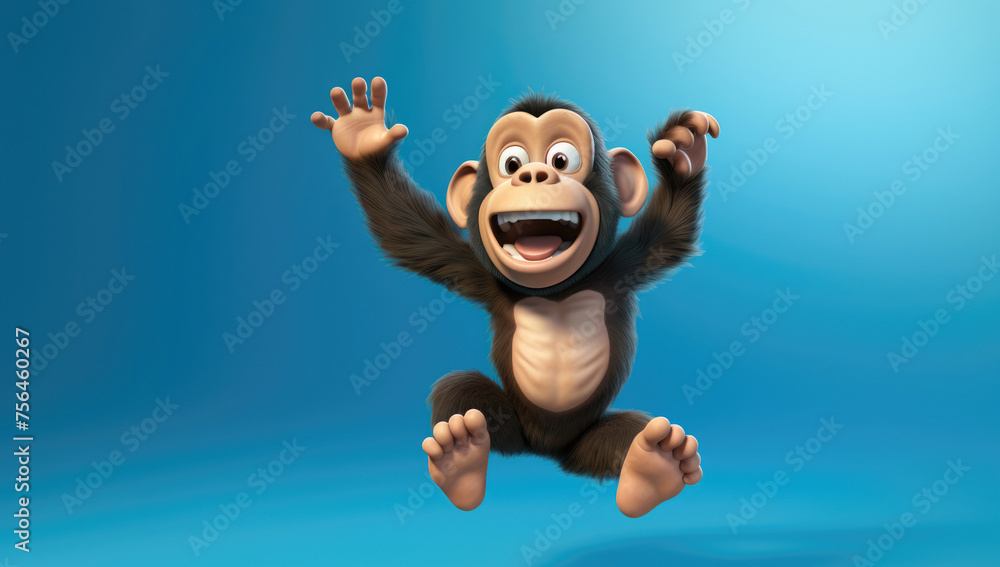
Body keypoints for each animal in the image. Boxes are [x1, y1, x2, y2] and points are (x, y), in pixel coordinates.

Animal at [312, 77, 719, 517]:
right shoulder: (478, 274)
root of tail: (544, 450)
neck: (558, 291)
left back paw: (652, 469)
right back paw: (461, 460)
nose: (534, 174)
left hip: (586, 443)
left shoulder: (622, 269)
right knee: (462, 392)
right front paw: (362, 137)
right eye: (511, 163)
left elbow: (669, 235)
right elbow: (412, 237)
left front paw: (682, 153)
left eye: (562, 159)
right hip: (508, 425)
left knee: (625, 436)